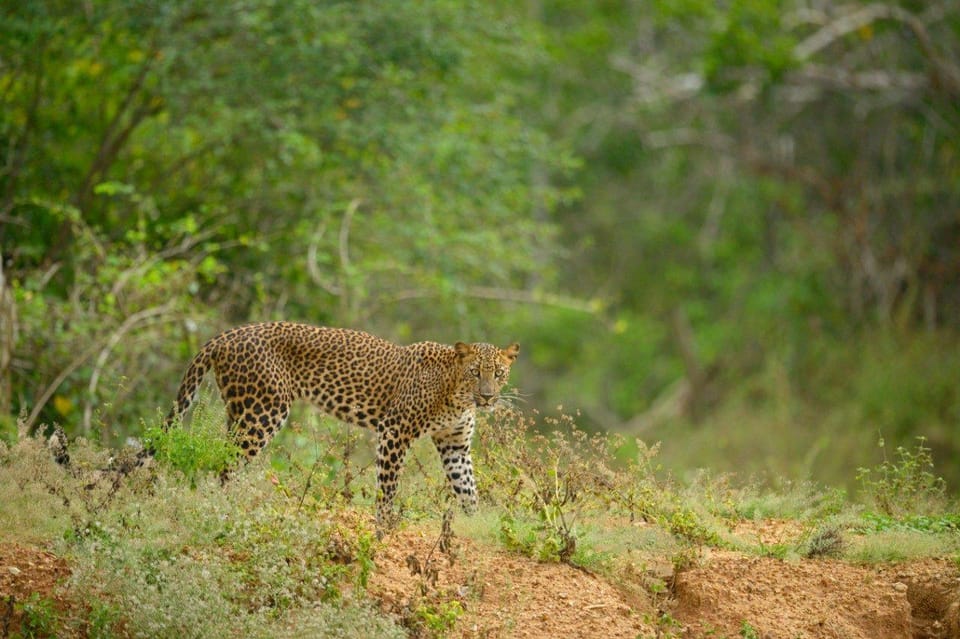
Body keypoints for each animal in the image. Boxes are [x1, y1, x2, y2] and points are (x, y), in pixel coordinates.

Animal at [159, 324, 516, 528]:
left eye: (499, 373)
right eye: (475, 372)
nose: (487, 397)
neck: (457, 395)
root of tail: (225, 335)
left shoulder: (455, 444)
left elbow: (467, 488)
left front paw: (475, 525)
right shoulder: (394, 431)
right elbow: (388, 487)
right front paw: (384, 527)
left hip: (240, 412)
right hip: (263, 412)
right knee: (225, 464)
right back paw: (223, 507)